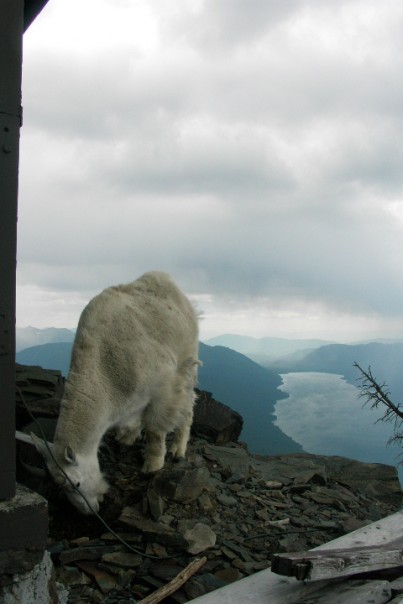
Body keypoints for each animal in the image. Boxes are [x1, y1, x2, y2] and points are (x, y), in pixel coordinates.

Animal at [32, 274, 200, 516]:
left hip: (187, 359)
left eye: (76, 484)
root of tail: (167, 281)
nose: (90, 511)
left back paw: (178, 449)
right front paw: (127, 437)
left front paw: (153, 465)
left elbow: (156, 429)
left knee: (189, 402)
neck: (105, 372)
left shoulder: (163, 387)